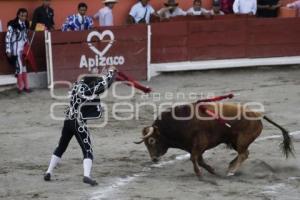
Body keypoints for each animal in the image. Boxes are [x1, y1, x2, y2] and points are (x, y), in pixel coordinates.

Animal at [135, 103, 294, 177]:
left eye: (151, 141)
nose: (154, 159)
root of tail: (257, 114)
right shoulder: (196, 147)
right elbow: (198, 159)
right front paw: (211, 170)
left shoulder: (199, 144)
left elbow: (194, 159)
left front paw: (200, 174)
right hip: (236, 142)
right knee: (244, 153)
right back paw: (230, 166)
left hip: (242, 140)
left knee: (243, 154)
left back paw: (231, 171)